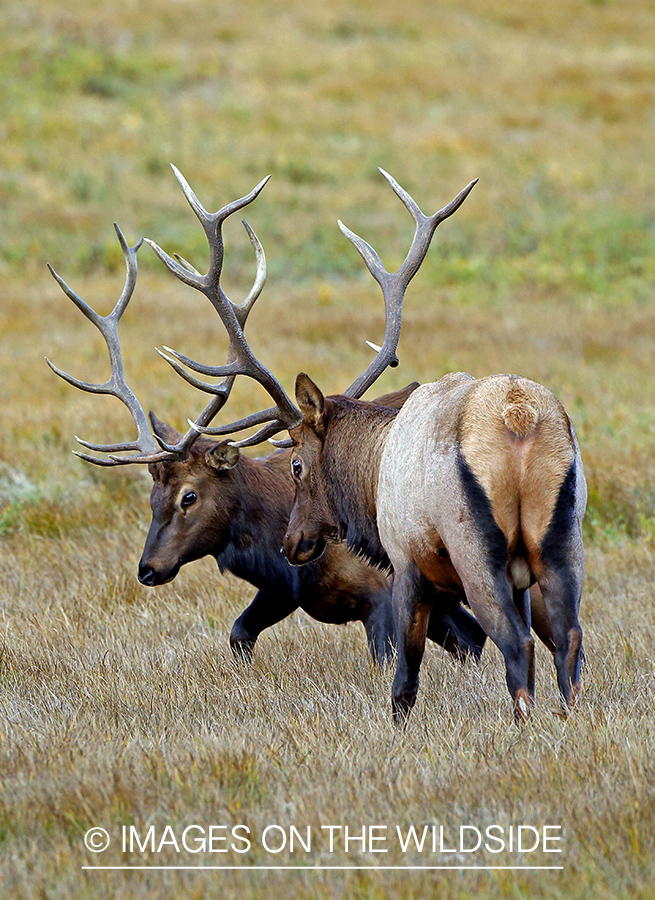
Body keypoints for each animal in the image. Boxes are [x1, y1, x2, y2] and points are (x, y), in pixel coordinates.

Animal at [46, 167, 486, 660]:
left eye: (189, 497)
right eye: (152, 497)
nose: (147, 569)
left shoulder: (382, 595)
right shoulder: (283, 593)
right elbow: (239, 632)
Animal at [167, 165, 588, 720]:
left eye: (297, 464)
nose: (292, 542)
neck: (373, 471)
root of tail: (519, 418)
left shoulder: (406, 561)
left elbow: (404, 676)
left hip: (475, 548)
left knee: (518, 646)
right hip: (562, 539)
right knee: (570, 642)